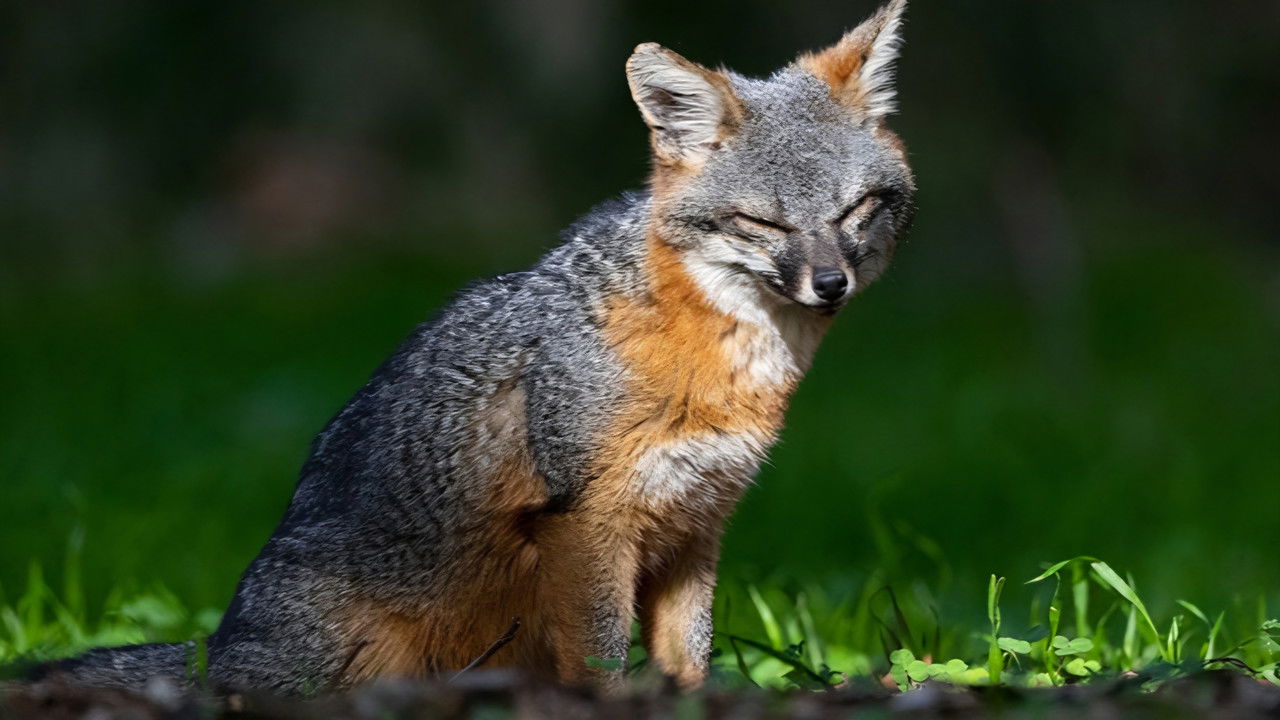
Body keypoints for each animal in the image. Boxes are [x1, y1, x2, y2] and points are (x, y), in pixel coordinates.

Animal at [39, 0, 915, 694]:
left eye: (856, 209)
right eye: (763, 223)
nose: (830, 284)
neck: (721, 359)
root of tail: (217, 647)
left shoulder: (696, 524)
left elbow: (688, 663)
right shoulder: (590, 520)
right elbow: (602, 659)